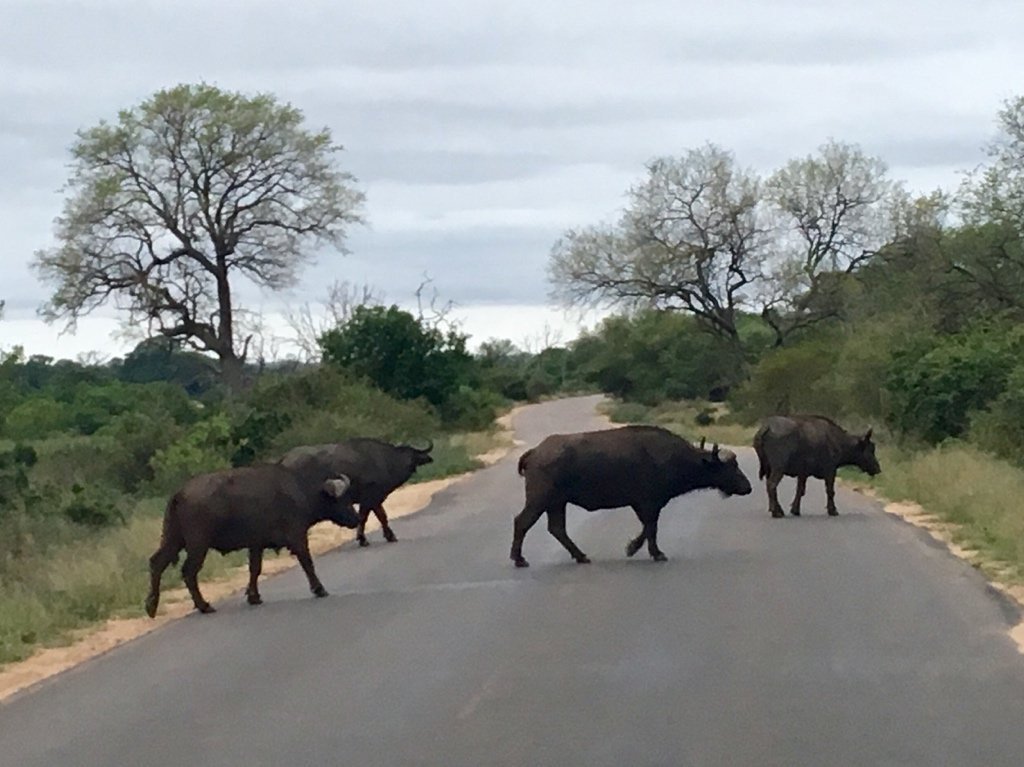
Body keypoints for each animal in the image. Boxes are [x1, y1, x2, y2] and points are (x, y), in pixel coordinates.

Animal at [144, 464, 359, 618]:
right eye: (343, 499)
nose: (356, 518)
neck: (299, 490)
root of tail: (179, 493)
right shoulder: (297, 537)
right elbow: (307, 563)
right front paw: (319, 589)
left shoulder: (256, 544)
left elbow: (255, 569)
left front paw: (253, 596)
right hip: (198, 545)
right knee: (188, 572)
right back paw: (204, 606)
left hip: (173, 539)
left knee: (157, 563)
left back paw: (151, 606)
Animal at [279, 438, 434, 547]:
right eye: (406, 455)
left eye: (413, 456)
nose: (409, 465)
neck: (385, 462)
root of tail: (284, 458)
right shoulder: (370, 498)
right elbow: (374, 517)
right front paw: (367, 539)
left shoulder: (373, 500)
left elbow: (373, 516)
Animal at [510, 425, 753, 568]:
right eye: (730, 467)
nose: (748, 487)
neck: (674, 457)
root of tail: (535, 452)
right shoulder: (648, 503)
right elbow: (651, 528)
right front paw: (650, 552)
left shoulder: (643, 505)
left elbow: (648, 527)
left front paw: (637, 548)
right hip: (540, 500)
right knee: (522, 522)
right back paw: (519, 559)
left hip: (557, 503)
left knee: (557, 529)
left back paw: (581, 556)